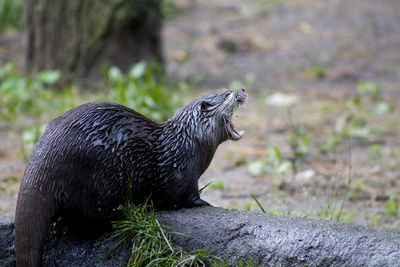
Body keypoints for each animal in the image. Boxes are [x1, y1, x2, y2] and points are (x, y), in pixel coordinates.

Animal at [14, 89, 247, 266]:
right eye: (227, 93)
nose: (242, 90)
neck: (188, 142)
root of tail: (46, 155)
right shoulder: (184, 174)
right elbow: (185, 197)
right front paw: (205, 203)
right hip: (98, 177)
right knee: (88, 219)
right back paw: (123, 214)